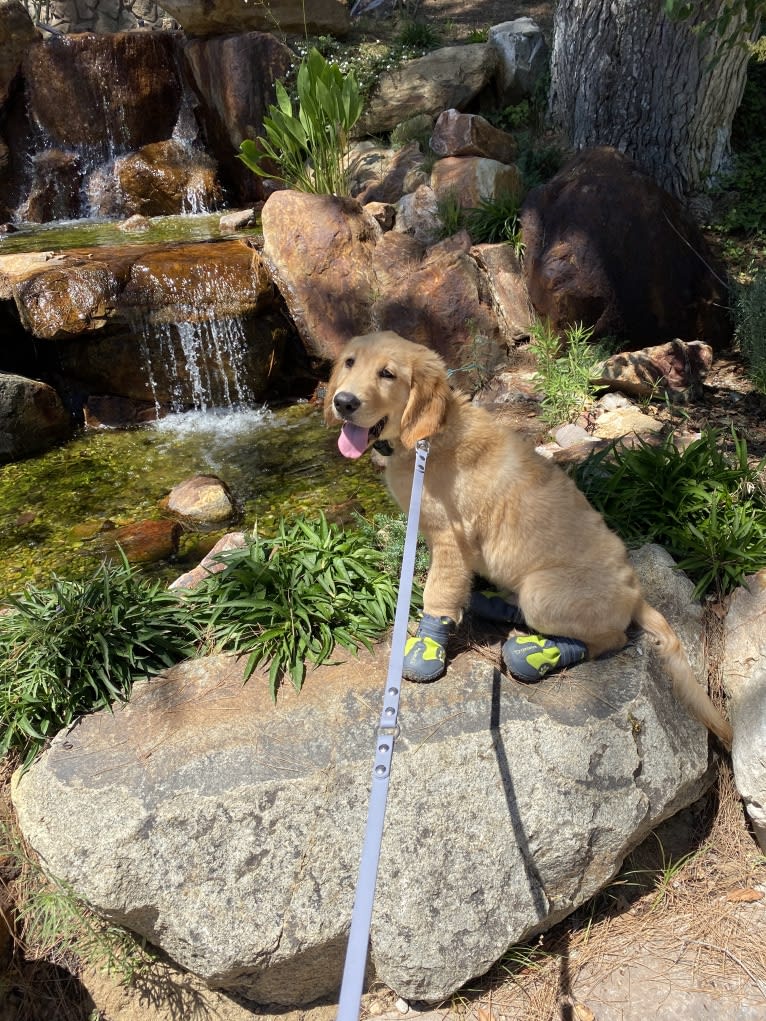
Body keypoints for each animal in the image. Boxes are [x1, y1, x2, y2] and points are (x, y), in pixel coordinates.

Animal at [326, 330, 735, 747]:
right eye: (350, 363)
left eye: (388, 374)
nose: (343, 402)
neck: (430, 436)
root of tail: (636, 595)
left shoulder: (450, 541)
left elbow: (438, 594)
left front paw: (426, 650)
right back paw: (496, 603)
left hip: (544, 591)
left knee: (608, 639)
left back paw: (535, 652)